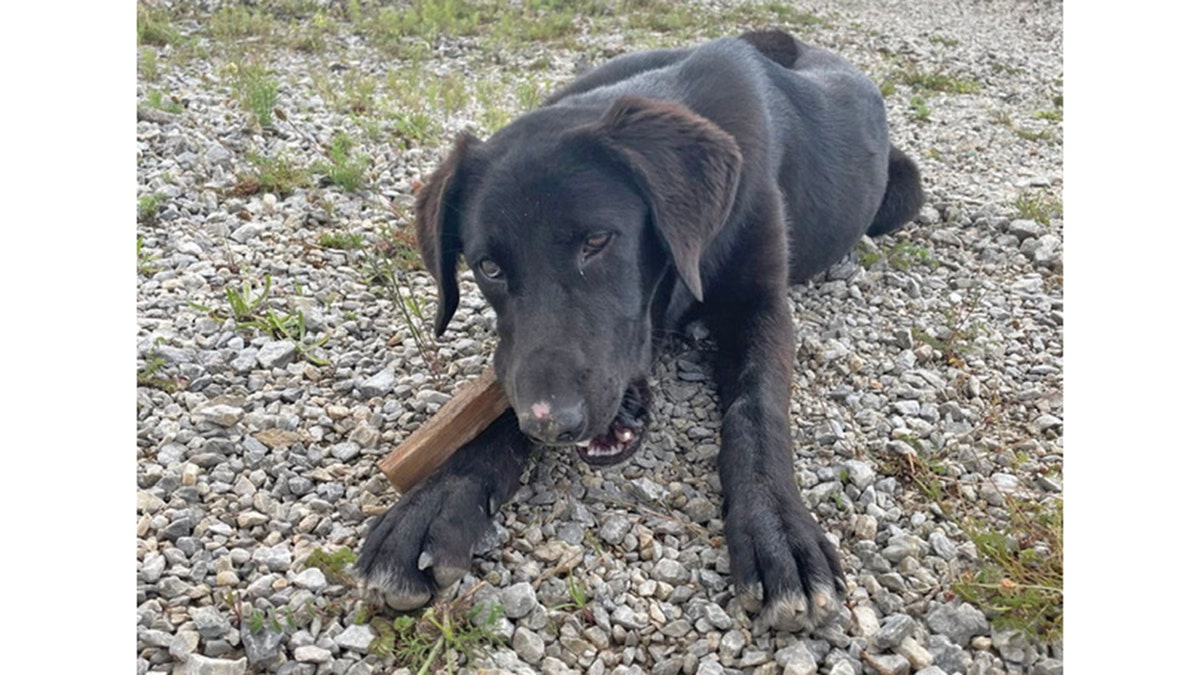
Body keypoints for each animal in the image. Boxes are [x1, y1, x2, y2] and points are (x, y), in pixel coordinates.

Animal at [360, 30, 921, 629]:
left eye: (597, 241)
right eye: (488, 266)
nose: (550, 426)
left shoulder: (762, 305)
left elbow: (757, 408)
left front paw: (777, 526)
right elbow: (496, 400)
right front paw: (434, 501)